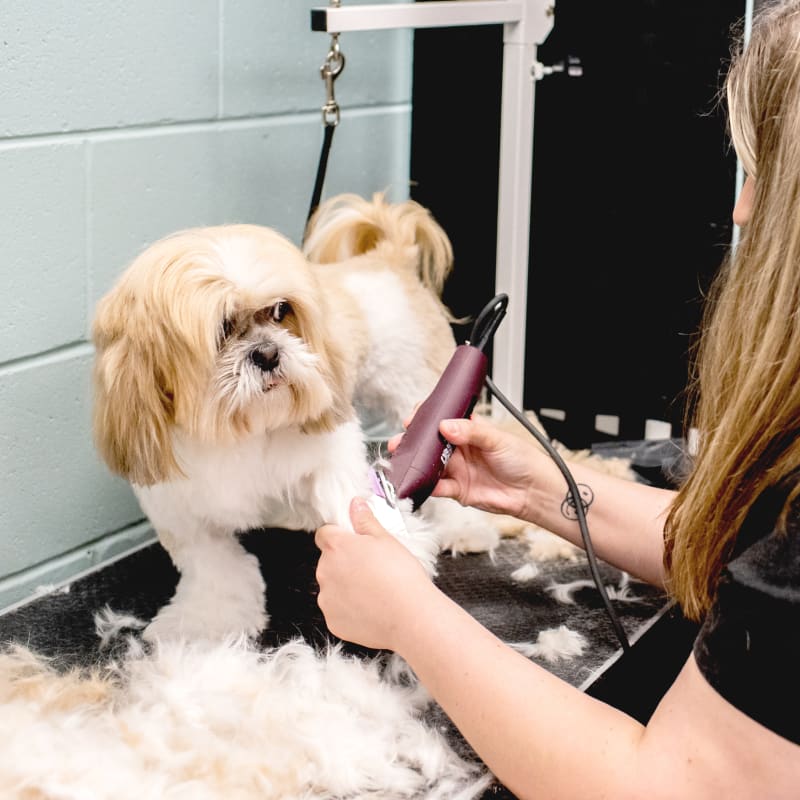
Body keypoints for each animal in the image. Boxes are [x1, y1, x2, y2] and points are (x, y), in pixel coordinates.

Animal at [90, 194, 496, 644]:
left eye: (280, 311)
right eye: (223, 327)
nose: (268, 353)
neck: (236, 430)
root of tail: (388, 257)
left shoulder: (330, 447)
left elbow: (348, 494)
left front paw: (389, 555)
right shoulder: (179, 508)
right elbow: (213, 568)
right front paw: (209, 621)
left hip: (425, 393)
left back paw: (465, 527)